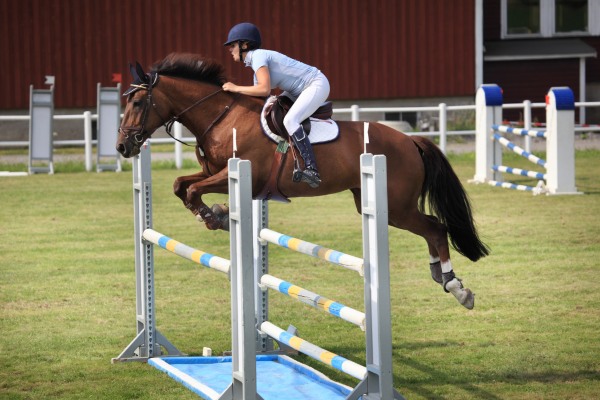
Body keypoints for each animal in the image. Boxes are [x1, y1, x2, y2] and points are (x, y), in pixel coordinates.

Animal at [116, 52, 488, 310]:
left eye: (138, 101)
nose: (122, 146)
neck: (222, 117)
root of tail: (411, 141)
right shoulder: (213, 173)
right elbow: (181, 184)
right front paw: (214, 214)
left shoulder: (239, 174)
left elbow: (192, 189)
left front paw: (212, 216)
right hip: (383, 205)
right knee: (430, 229)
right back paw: (442, 275)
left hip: (396, 206)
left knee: (436, 228)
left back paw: (457, 287)